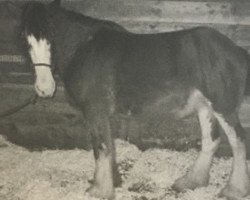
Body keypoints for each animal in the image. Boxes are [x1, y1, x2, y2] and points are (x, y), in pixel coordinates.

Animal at [21, 0, 250, 199]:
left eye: (52, 34)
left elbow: (101, 148)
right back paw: (191, 181)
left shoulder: (95, 111)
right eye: (26, 39)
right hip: (205, 107)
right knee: (211, 140)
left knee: (237, 140)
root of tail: (237, 51)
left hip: (223, 106)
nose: (44, 89)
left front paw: (100, 191)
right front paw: (111, 182)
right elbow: (106, 147)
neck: (84, 47)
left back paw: (234, 190)